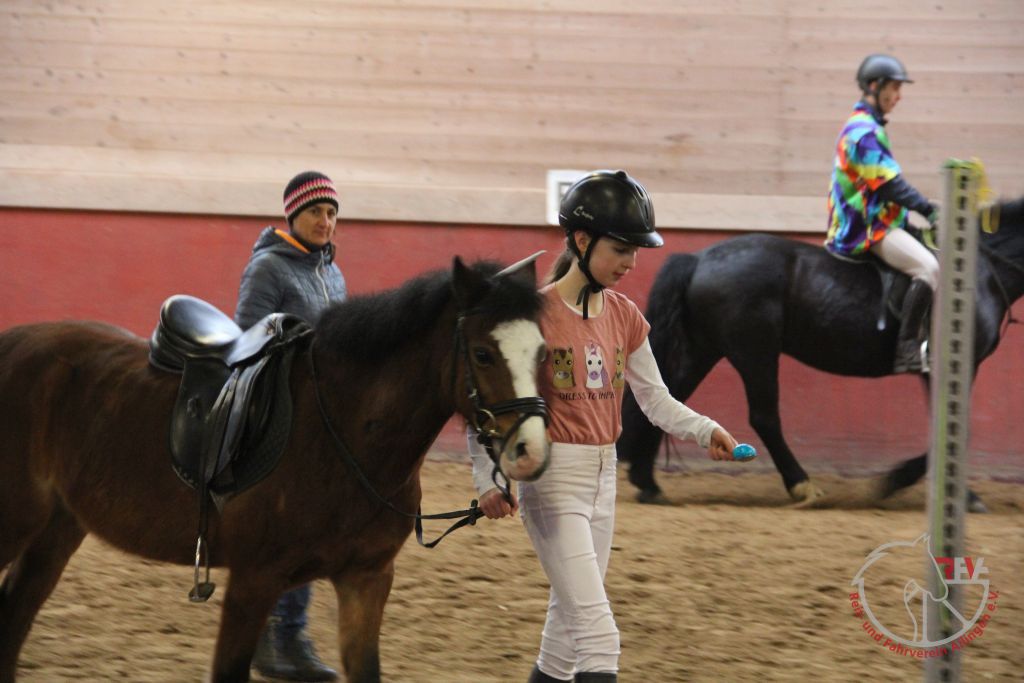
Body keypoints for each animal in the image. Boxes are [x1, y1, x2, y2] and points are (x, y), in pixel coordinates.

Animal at [0, 257, 550, 683]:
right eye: (483, 353)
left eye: (543, 353)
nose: (531, 451)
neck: (341, 432)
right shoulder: (253, 580)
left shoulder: (367, 579)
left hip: (58, 527)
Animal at [617, 197, 1024, 507]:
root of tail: (699, 258)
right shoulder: (951, 366)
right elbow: (956, 431)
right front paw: (902, 484)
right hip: (754, 351)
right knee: (764, 417)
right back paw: (802, 485)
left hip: (704, 348)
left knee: (666, 400)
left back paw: (648, 483)